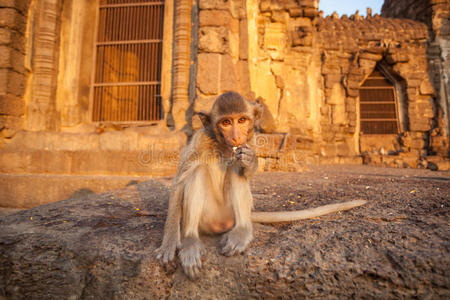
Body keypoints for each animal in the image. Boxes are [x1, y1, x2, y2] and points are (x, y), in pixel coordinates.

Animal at [155, 91, 366, 278]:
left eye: (241, 120)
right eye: (226, 122)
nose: (236, 137)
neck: (225, 147)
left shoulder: (251, 141)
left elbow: (245, 168)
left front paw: (250, 162)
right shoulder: (200, 139)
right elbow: (179, 182)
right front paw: (169, 244)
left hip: (228, 215)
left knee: (235, 170)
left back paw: (241, 231)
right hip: (207, 219)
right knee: (198, 172)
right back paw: (190, 241)